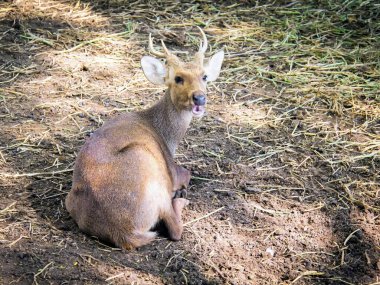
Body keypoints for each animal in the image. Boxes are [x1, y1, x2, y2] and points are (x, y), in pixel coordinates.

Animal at [65, 27, 224, 248]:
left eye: (205, 76)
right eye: (178, 78)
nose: (199, 97)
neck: (167, 135)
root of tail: (124, 232)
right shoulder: (173, 171)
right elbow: (187, 172)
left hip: (69, 200)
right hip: (151, 173)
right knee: (174, 227)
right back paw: (180, 199)